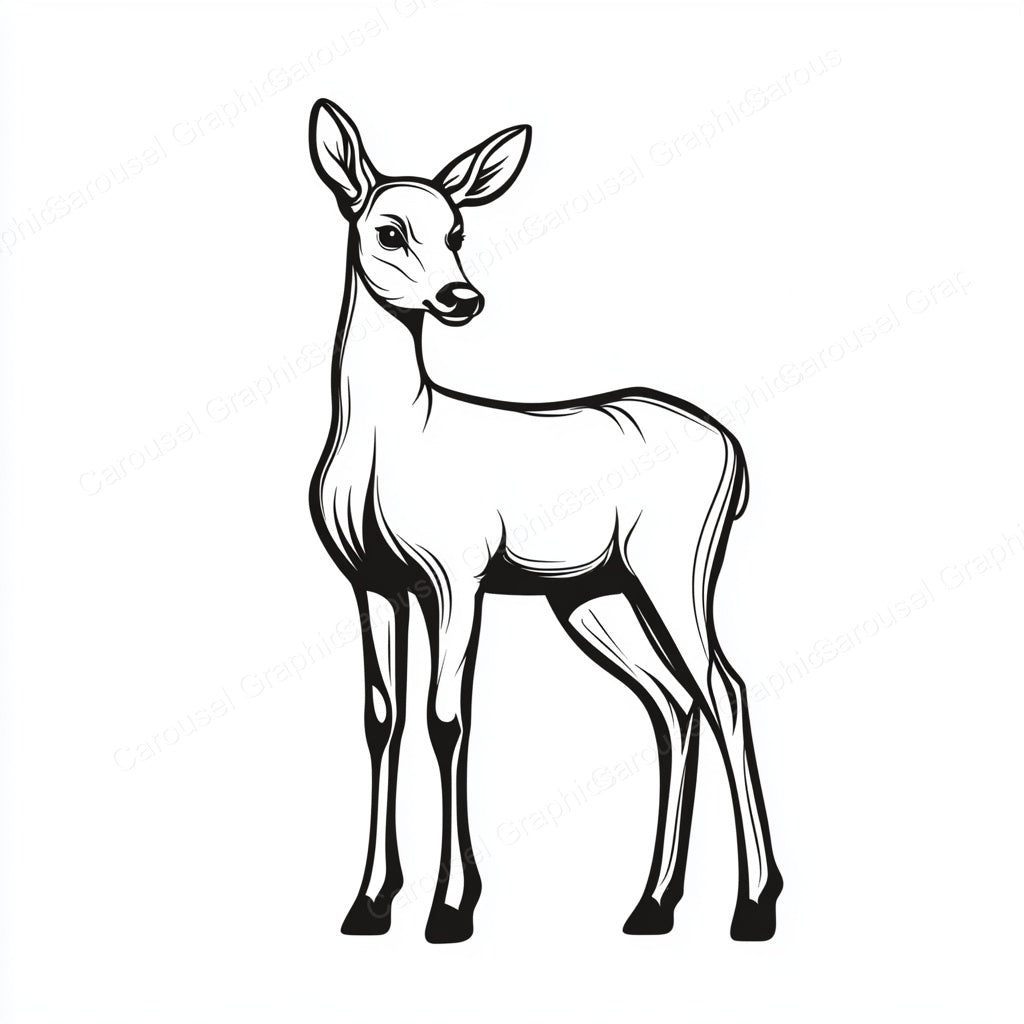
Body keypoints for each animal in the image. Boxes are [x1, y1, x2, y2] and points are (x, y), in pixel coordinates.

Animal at [306, 98, 783, 944]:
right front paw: (368, 904)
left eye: (457, 230)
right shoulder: (373, 585)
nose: (460, 300)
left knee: (723, 690)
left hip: (674, 571)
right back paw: (651, 906)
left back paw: (754, 907)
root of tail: (733, 450)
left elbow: (446, 719)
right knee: (673, 704)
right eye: (388, 229)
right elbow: (381, 720)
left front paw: (451, 908)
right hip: (592, 596)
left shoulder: (456, 577)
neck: (392, 437)